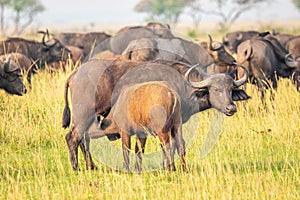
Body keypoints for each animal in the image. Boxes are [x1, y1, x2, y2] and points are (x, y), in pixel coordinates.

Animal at [62, 57, 250, 170]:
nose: (231, 108)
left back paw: (91, 166)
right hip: (84, 115)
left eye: (231, 89)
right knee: (72, 137)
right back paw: (76, 168)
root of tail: (75, 74)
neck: (183, 83)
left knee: (83, 139)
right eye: (216, 89)